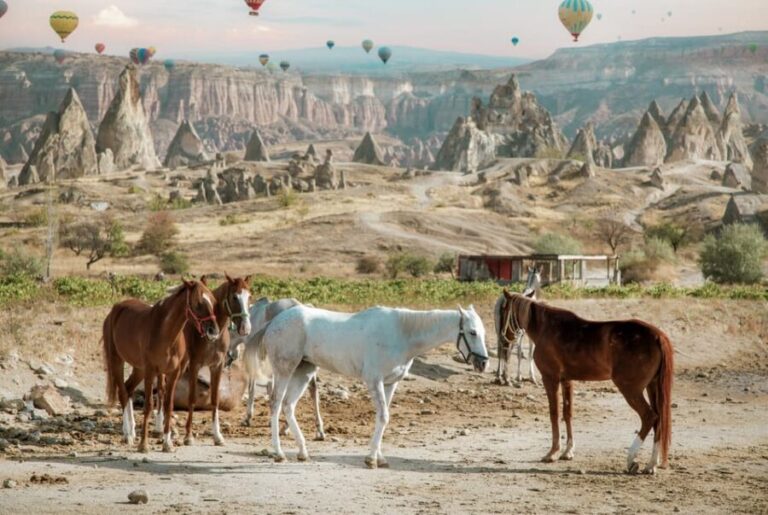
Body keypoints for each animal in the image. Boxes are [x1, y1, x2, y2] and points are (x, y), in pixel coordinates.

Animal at [102, 279, 220, 453]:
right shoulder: (151, 371)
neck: (166, 334)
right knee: (123, 392)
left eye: (213, 300)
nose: (214, 331)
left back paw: (131, 431)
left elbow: (168, 406)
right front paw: (143, 445)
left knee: (128, 388)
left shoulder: (173, 373)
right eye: (198, 303)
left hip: (139, 369)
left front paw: (167, 443)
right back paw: (128, 435)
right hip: (117, 361)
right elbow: (149, 406)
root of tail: (115, 310)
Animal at [182, 274, 252, 447]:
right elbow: (191, 398)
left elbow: (215, 399)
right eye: (234, 297)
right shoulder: (194, 365)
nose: (246, 328)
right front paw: (188, 436)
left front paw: (218, 436)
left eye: (250, 296)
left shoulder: (217, 366)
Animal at [258, 304, 489, 468]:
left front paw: (380, 457)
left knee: (288, 406)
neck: (402, 334)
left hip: (304, 372)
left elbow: (383, 418)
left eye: (483, 332)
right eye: (472, 332)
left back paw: (303, 452)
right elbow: (384, 416)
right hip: (285, 370)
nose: (483, 363)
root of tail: (274, 321)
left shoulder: (390, 383)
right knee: (276, 404)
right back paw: (279, 454)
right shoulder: (374, 381)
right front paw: (371, 459)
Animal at [499, 290, 673, 474]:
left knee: (649, 417)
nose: (504, 338)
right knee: (659, 420)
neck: (545, 327)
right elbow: (567, 413)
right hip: (652, 388)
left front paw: (553, 452)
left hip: (631, 390)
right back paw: (651, 464)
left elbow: (554, 413)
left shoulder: (550, 379)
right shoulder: (567, 380)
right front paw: (568, 451)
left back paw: (631, 459)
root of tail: (657, 336)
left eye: (503, 309)